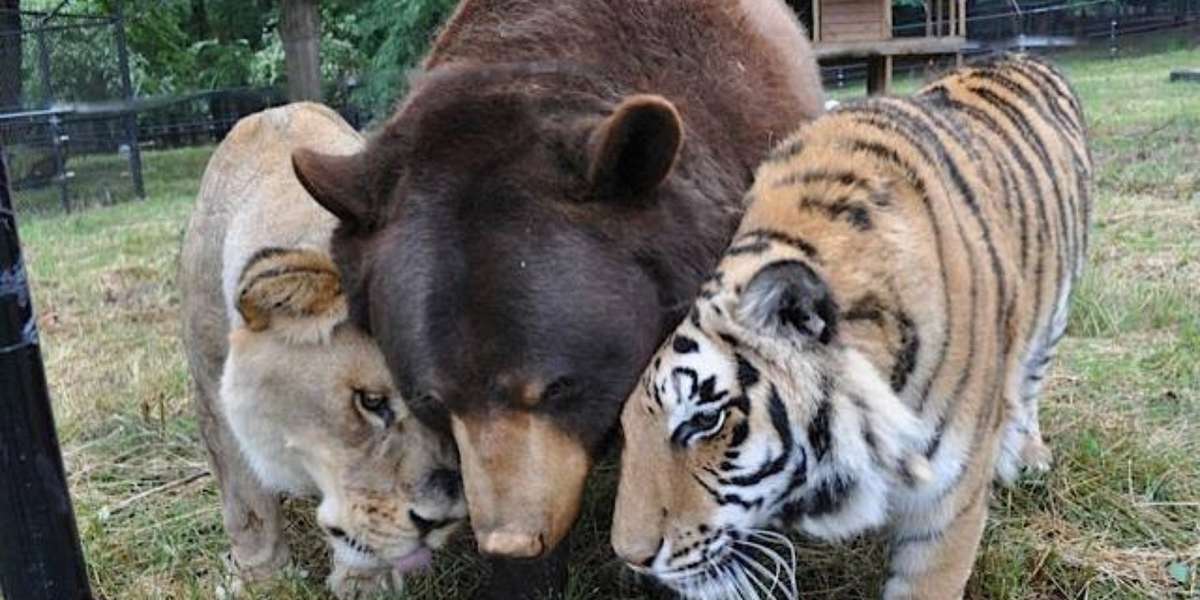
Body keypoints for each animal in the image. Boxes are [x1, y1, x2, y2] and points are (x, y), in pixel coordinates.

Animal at [180, 102, 466, 598]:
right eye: (371, 402)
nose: (442, 520)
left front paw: (364, 583)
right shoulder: (212, 391)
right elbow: (246, 504)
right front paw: (261, 579)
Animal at [611, 53, 1091, 600]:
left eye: (703, 421)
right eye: (625, 428)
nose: (630, 557)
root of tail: (1019, 55)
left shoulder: (948, 502)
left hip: (1054, 314)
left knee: (1029, 382)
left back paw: (1027, 454)